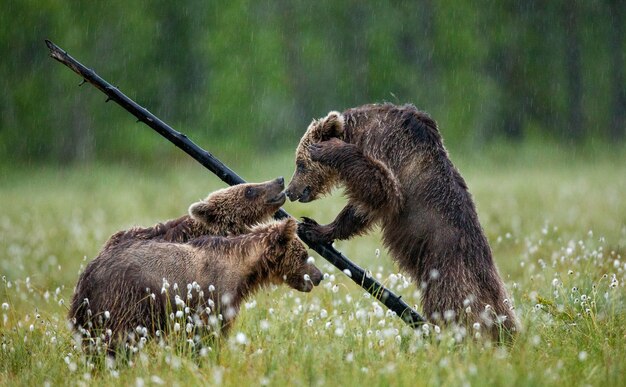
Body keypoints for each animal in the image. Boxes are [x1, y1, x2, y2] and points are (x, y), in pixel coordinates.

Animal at [286, 104, 520, 342]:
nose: (289, 191)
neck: (356, 133)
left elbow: (383, 190)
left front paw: (328, 150)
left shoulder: (383, 147)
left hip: (446, 267)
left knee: (451, 303)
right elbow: (364, 207)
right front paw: (315, 228)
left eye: (300, 164)